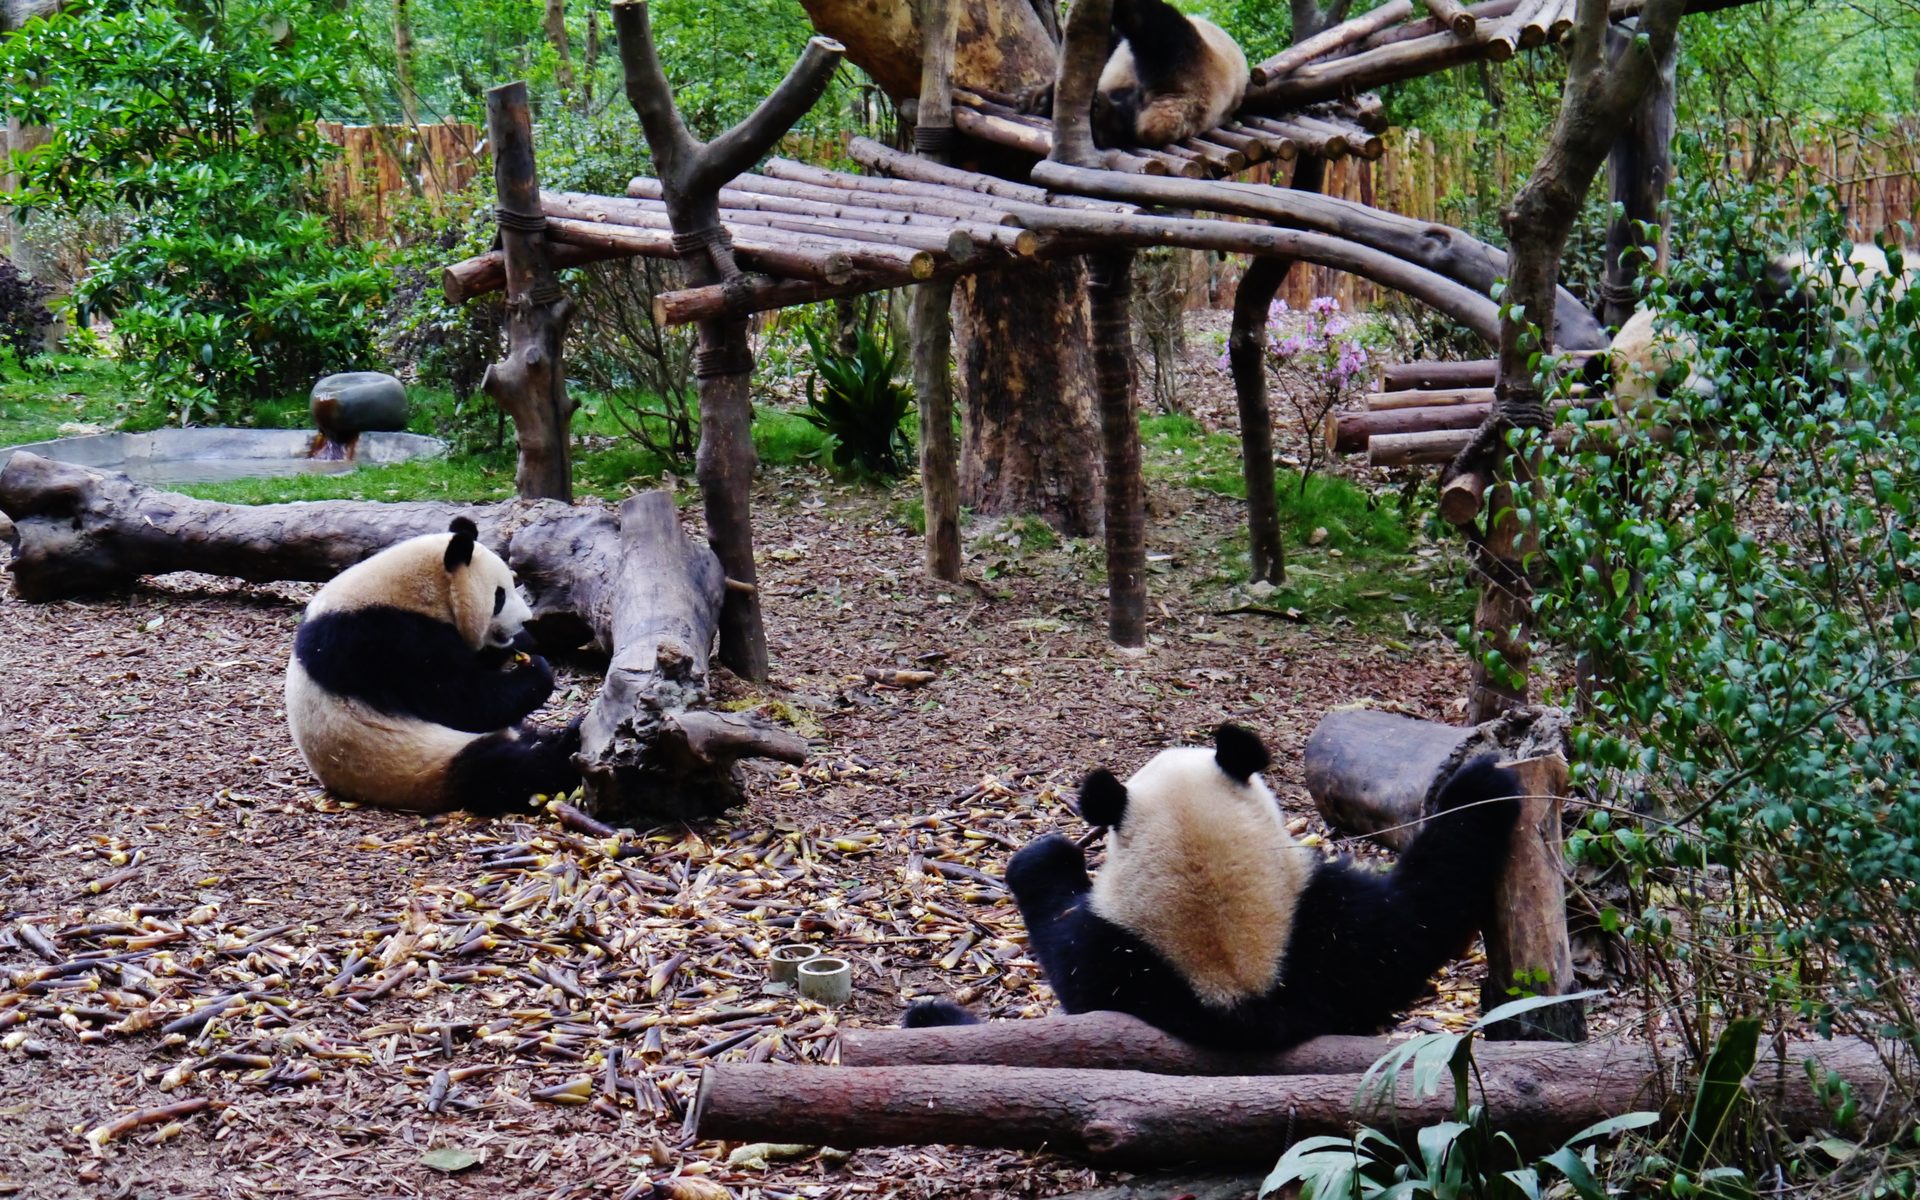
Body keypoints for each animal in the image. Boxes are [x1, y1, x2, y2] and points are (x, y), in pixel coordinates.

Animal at [285, 517, 581, 814]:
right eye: (499, 596)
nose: (525, 620)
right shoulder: (387, 641)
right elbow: (463, 700)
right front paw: (537, 671)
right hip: (419, 763)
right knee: (499, 769)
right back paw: (563, 747)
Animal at [905, 724, 1520, 1052]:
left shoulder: (1111, 961)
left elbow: (1065, 947)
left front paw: (1044, 858)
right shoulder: (1332, 937)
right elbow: (1420, 912)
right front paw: (1487, 783)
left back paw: (928, 1017)